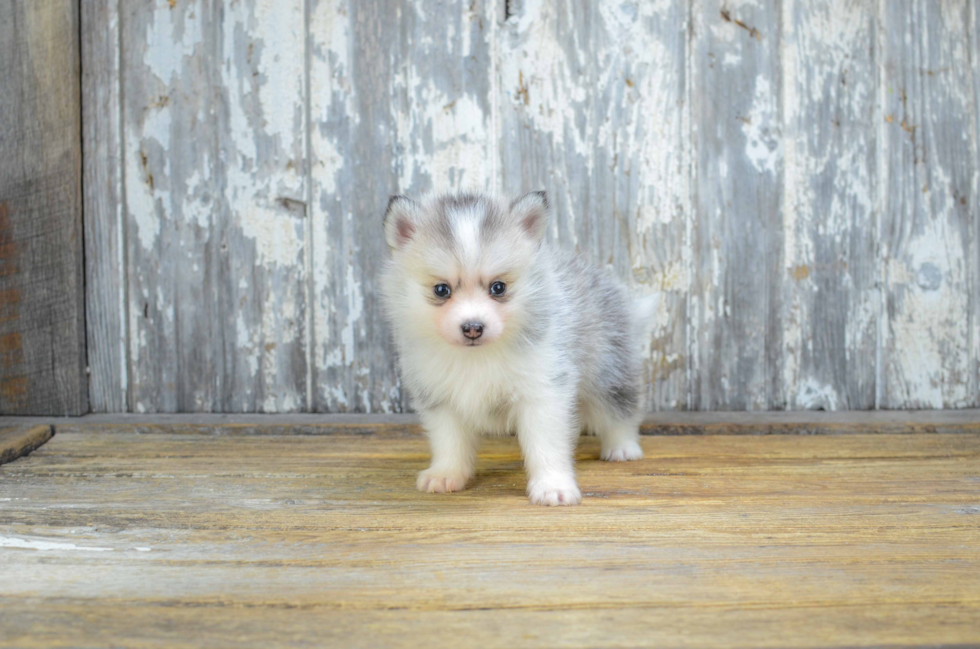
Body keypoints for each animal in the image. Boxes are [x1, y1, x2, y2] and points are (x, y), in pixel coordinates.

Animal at [378, 192, 648, 506]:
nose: (473, 327)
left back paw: (622, 447)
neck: (476, 358)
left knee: (620, 409)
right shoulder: (439, 397)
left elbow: (546, 445)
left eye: (498, 287)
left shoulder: (542, 391)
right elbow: (449, 441)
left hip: (609, 368)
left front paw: (552, 486)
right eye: (441, 290)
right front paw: (446, 474)